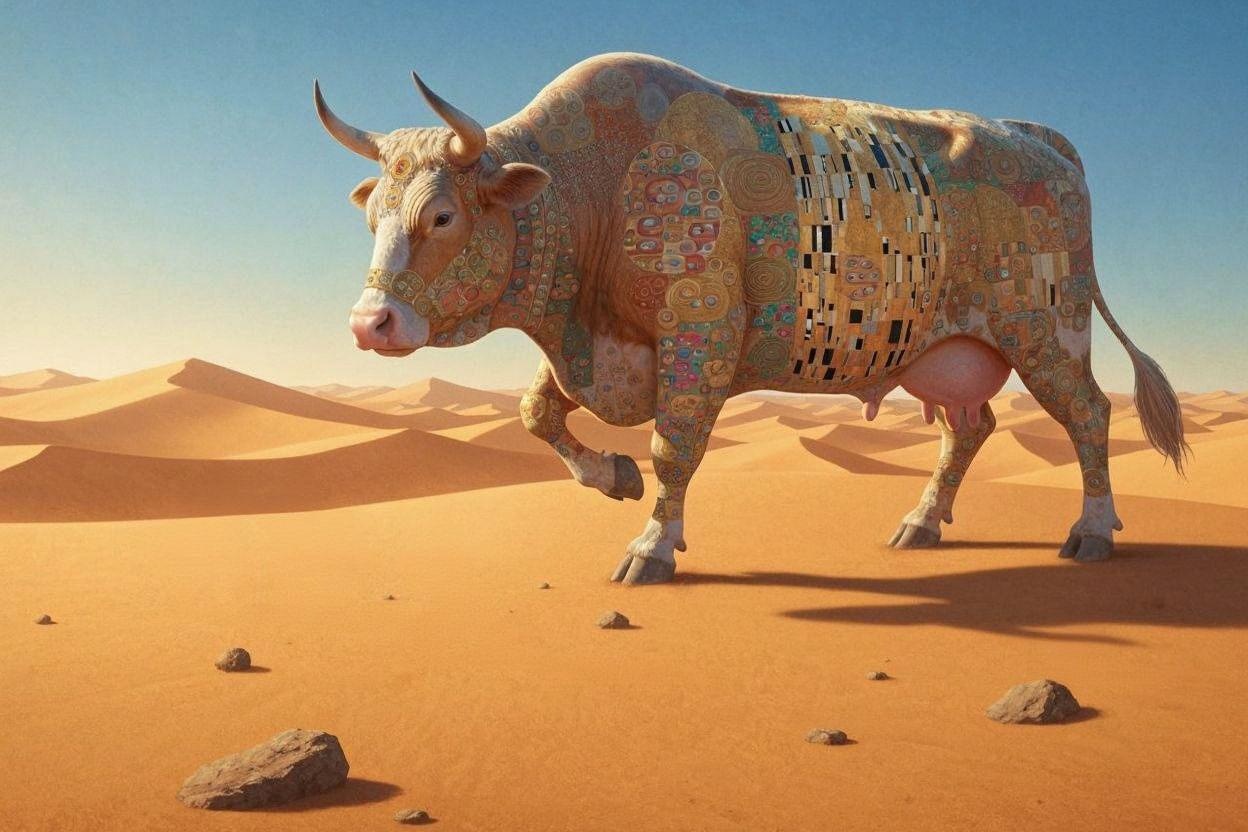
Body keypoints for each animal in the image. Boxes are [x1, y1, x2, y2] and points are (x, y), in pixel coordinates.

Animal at [314, 52, 1187, 584]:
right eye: (373, 216)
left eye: (441, 216)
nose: (369, 324)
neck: (594, 182)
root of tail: (1037, 137)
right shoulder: (602, 348)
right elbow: (535, 413)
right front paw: (612, 478)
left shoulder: (697, 332)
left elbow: (674, 446)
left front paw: (652, 545)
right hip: (947, 352)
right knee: (970, 429)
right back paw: (922, 522)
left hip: (1046, 329)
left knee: (1088, 415)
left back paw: (1093, 531)